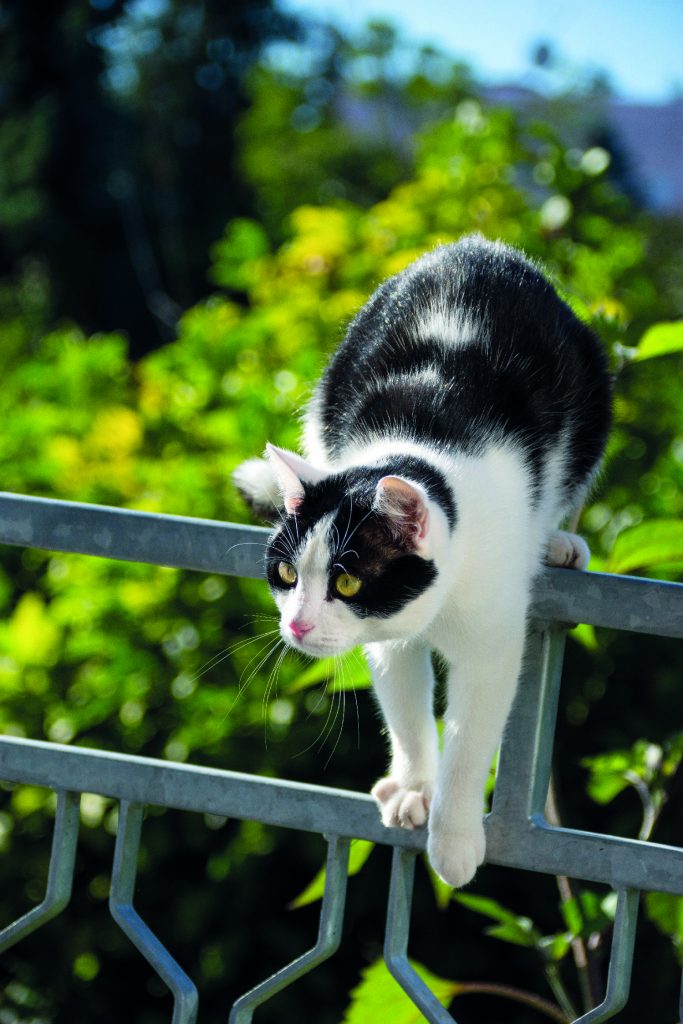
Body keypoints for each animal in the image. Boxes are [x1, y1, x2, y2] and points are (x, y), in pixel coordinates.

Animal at [232, 234, 610, 888]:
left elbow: (471, 735)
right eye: (286, 574)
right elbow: (406, 709)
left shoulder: (491, 635)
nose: (297, 625)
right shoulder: (385, 639)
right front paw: (413, 788)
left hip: (592, 393)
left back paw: (559, 542)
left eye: (347, 582)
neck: (418, 444)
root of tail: (474, 245)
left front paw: (453, 837)